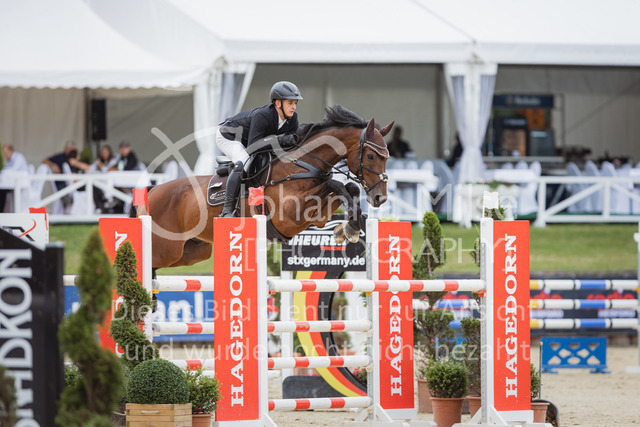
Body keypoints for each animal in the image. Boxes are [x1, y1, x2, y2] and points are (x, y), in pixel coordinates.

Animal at [137, 105, 393, 269]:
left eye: (387, 157)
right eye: (371, 156)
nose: (380, 198)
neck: (302, 163)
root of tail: (153, 191)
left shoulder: (316, 216)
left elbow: (348, 188)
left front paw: (349, 228)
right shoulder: (289, 214)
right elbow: (336, 183)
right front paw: (349, 228)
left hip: (192, 251)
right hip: (165, 248)